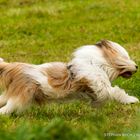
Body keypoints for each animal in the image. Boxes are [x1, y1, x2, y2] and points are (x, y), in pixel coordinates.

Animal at [0, 40, 138, 114]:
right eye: (126, 58)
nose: (137, 66)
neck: (98, 65)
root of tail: (14, 67)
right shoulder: (100, 86)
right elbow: (116, 92)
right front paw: (132, 100)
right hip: (21, 95)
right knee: (7, 108)